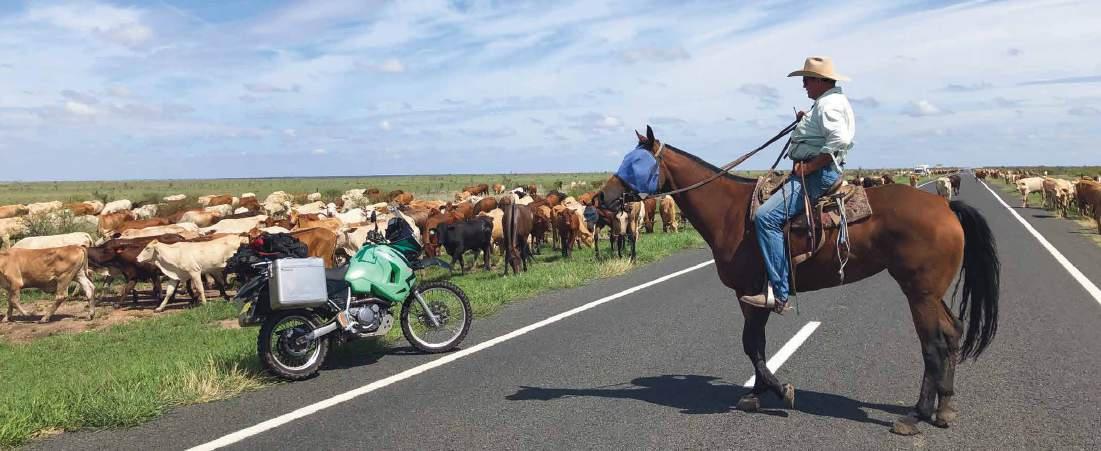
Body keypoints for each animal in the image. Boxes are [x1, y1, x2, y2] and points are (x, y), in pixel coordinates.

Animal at [596, 126, 999, 434]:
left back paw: (915, 415)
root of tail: (946, 206)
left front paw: (779, 390)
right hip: (929, 293)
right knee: (952, 333)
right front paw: (757, 393)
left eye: (635, 162)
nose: (603, 198)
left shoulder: (750, 292)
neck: (729, 212)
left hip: (919, 294)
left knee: (932, 344)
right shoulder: (753, 295)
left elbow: (752, 346)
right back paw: (944, 409)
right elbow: (755, 345)